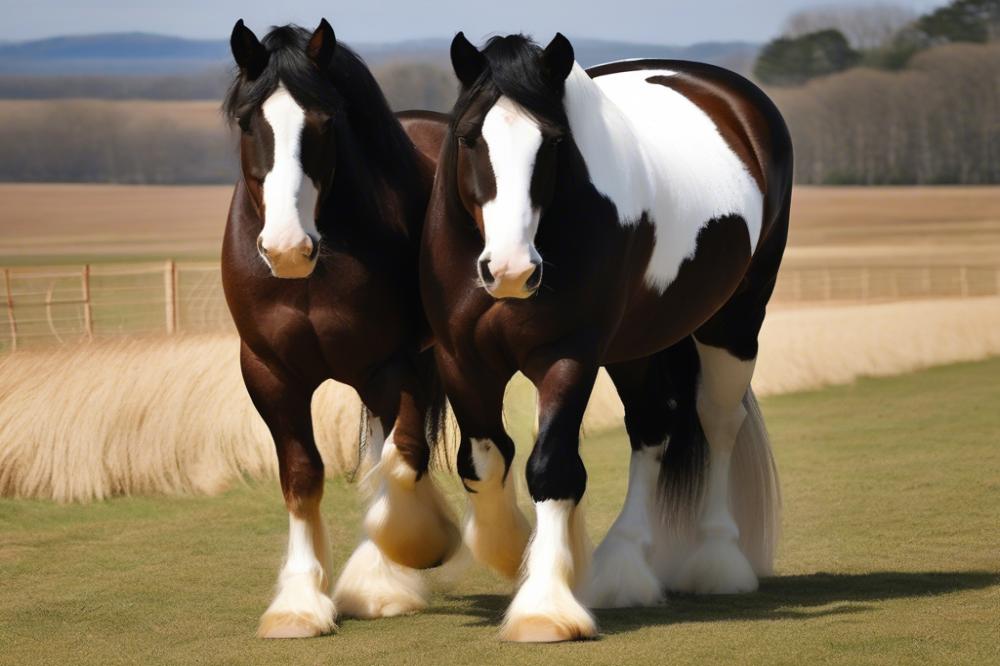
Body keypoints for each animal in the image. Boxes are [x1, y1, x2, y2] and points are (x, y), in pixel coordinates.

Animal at [222, 18, 458, 636]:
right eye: (248, 122)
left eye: (325, 122)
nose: (287, 249)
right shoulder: (270, 374)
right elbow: (302, 476)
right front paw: (300, 603)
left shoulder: (389, 365)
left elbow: (401, 457)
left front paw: (409, 553)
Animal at [418, 33, 792, 640]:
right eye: (470, 136)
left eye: (552, 141)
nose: (512, 271)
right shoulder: (461, 357)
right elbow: (484, 461)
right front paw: (509, 552)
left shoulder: (569, 355)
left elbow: (552, 468)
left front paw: (544, 607)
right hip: (637, 346)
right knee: (653, 426)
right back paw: (623, 566)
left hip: (733, 322)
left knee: (717, 421)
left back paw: (717, 563)